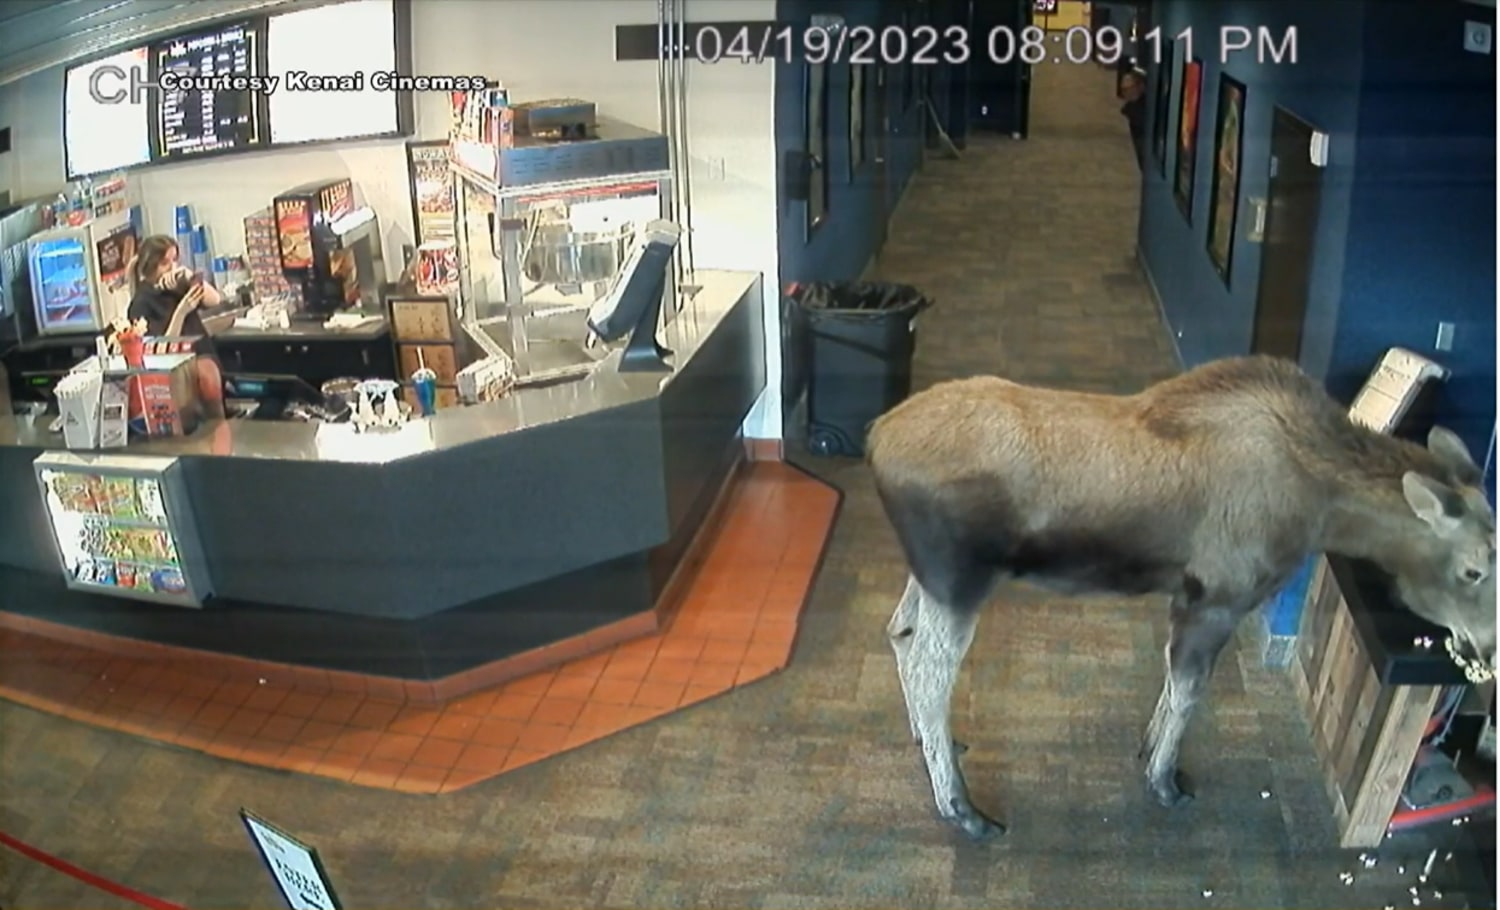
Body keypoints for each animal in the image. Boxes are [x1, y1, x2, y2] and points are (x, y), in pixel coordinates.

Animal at [870, 353, 1500, 839]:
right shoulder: (1218, 596)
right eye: (1474, 569)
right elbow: (1190, 690)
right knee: (930, 669)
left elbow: (1172, 687)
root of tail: (876, 440)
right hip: (960, 577)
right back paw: (961, 808)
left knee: (899, 633)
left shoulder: (1188, 596)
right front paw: (1164, 780)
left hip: (929, 575)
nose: (1488, 649)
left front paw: (1149, 752)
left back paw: (932, 745)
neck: (1324, 511)